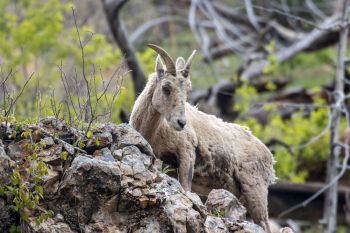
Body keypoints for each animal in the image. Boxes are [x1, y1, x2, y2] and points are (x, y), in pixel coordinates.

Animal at [129, 43, 276, 231]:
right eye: (166, 87)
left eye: (188, 90)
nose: (181, 123)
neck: (154, 130)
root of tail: (269, 157)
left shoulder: (186, 154)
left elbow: (186, 188)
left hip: (255, 191)